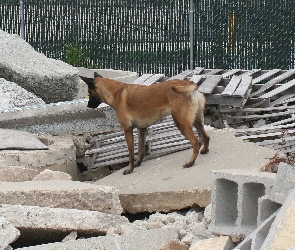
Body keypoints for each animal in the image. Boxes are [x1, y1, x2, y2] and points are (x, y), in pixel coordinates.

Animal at [80, 72, 210, 174]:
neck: (117, 93)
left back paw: (191, 162)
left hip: (181, 123)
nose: (88, 106)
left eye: (89, 93)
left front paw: (130, 169)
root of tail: (189, 84)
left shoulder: (127, 130)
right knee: (206, 136)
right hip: (196, 121)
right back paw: (205, 150)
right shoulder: (141, 129)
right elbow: (141, 150)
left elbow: (131, 152)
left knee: (196, 142)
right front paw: (138, 163)